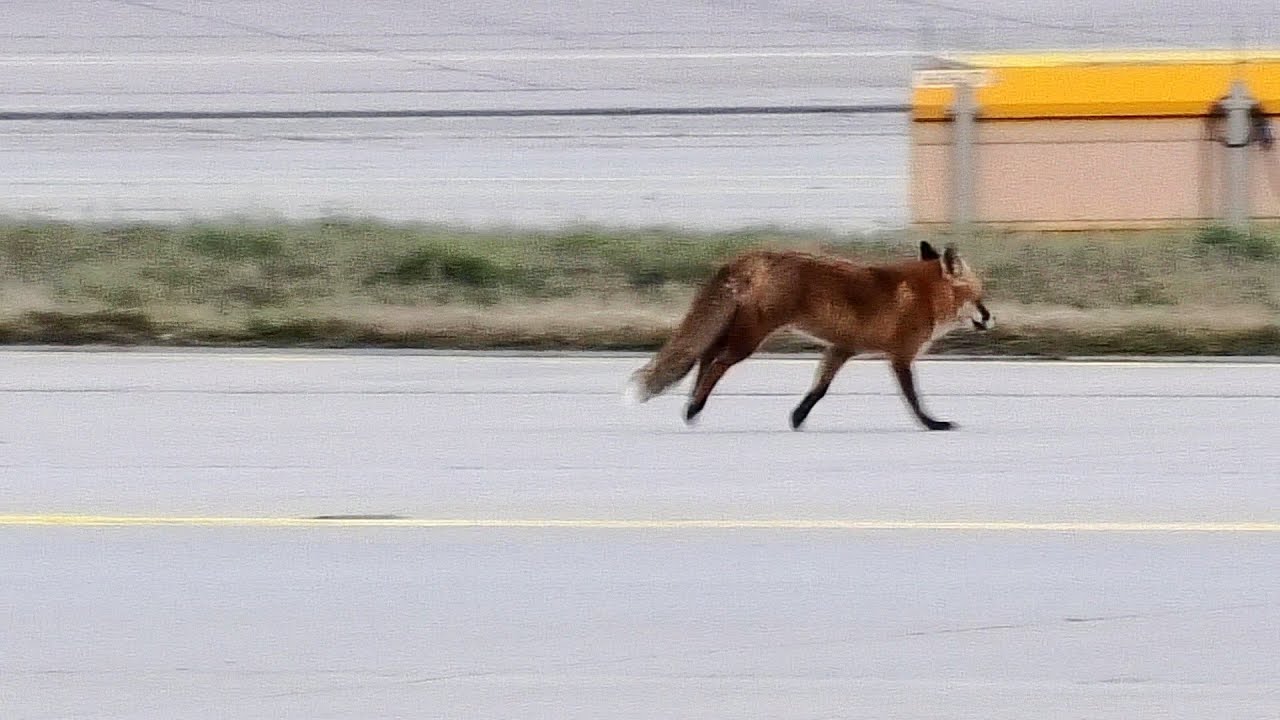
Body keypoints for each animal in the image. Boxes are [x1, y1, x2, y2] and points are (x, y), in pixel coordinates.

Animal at [625, 240, 994, 431]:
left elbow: (819, 389)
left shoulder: (841, 348)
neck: (925, 295)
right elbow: (914, 398)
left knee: (703, 355)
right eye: (979, 297)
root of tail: (751, 256)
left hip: (735, 329)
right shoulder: (900, 356)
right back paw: (694, 406)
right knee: (716, 362)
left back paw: (692, 404)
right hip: (750, 337)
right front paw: (932, 424)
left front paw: (798, 417)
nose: (991, 317)